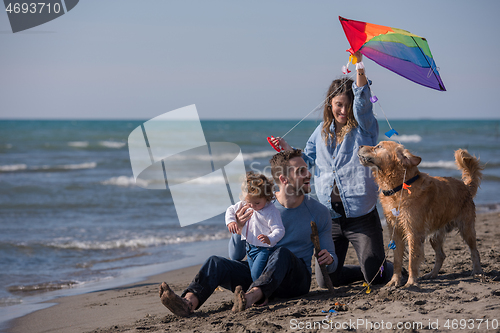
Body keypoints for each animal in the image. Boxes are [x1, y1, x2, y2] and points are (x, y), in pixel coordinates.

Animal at [358, 140, 482, 286]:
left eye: (379, 147)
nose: (359, 146)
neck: (399, 187)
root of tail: (465, 186)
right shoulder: (396, 231)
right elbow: (397, 260)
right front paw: (394, 281)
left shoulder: (413, 232)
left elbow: (412, 260)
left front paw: (411, 282)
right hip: (435, 236)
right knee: (441, 255)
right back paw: (432, 274)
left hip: (466, 229)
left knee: (474, 251)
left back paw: (477, 271)